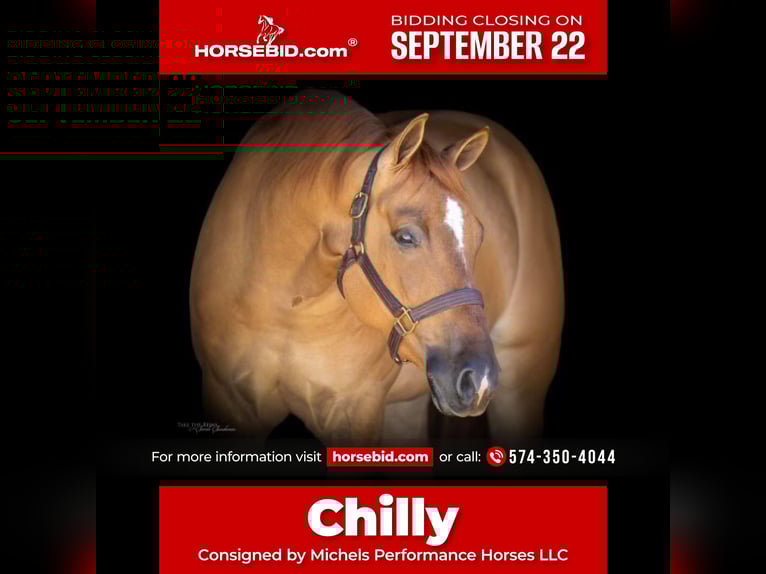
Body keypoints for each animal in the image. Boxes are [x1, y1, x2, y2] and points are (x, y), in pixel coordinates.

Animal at [189, 90, 564, 446]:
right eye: (406, 236)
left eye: (479, 235)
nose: (479, 378)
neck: (287, 305)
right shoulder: (229, 401)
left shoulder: (355, 410)